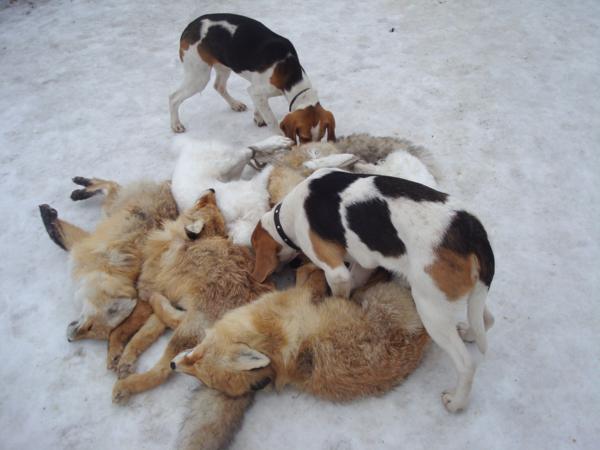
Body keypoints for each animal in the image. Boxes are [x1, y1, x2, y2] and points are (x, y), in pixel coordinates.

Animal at [169, 13, 336, 142]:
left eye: (321, 137)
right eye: (304, 137)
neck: (289, 74)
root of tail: (191, 26)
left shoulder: (258, 92)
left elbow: (259, 107)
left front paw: (257, 116)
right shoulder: (257, 90)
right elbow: (272, 120)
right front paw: (280, 136)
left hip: (224, 65)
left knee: (219, 86)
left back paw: (235, 104)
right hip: (198, 76)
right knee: (174, 97)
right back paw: (176, 124)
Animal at [249, 168, 495, 412]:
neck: (288, 215)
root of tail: (475, 235)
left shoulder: (336, 271)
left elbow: (339, 292)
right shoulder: (363, 263)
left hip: (431, 309)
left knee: (466, 364)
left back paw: (456, 402)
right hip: (464, 294)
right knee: (487, 319)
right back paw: (470, 333)